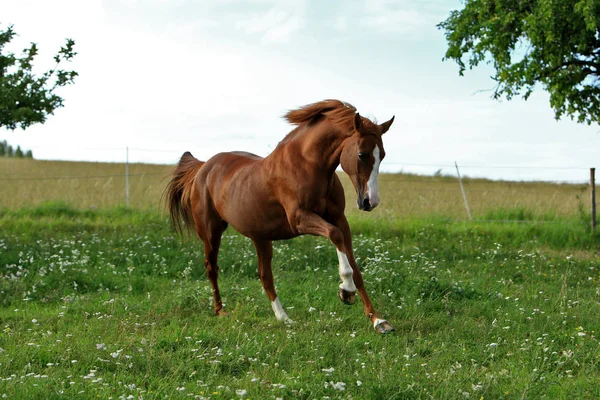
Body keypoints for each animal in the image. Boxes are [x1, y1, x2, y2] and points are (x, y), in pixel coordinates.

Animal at [166, 99, 396, 332]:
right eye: (361, 154)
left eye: (383, 155)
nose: (370, 201)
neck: (309, 165)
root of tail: (203, 167)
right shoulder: (300, 219)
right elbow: (335, 236)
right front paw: (346, 290)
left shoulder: (340, 219)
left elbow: (355, 267)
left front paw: (378, 320)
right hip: (211, 232)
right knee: (212, 268)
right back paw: (221, 311)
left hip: (260, 237)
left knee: (265, 275)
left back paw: (283, 318)